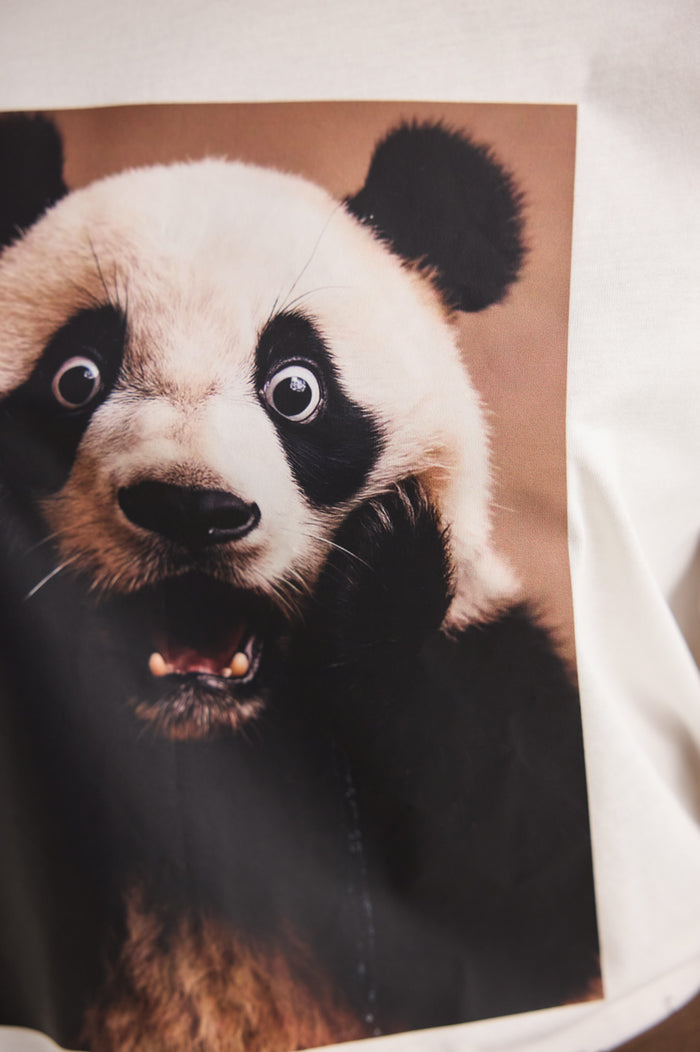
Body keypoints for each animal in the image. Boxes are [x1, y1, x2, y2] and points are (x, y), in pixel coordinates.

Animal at [0, 113, 599, 1051]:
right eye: (76, 378)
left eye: (295, 389)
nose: (189, 505)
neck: (208, 742)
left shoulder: (484, 660)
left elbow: (530, 880)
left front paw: (384, 579)